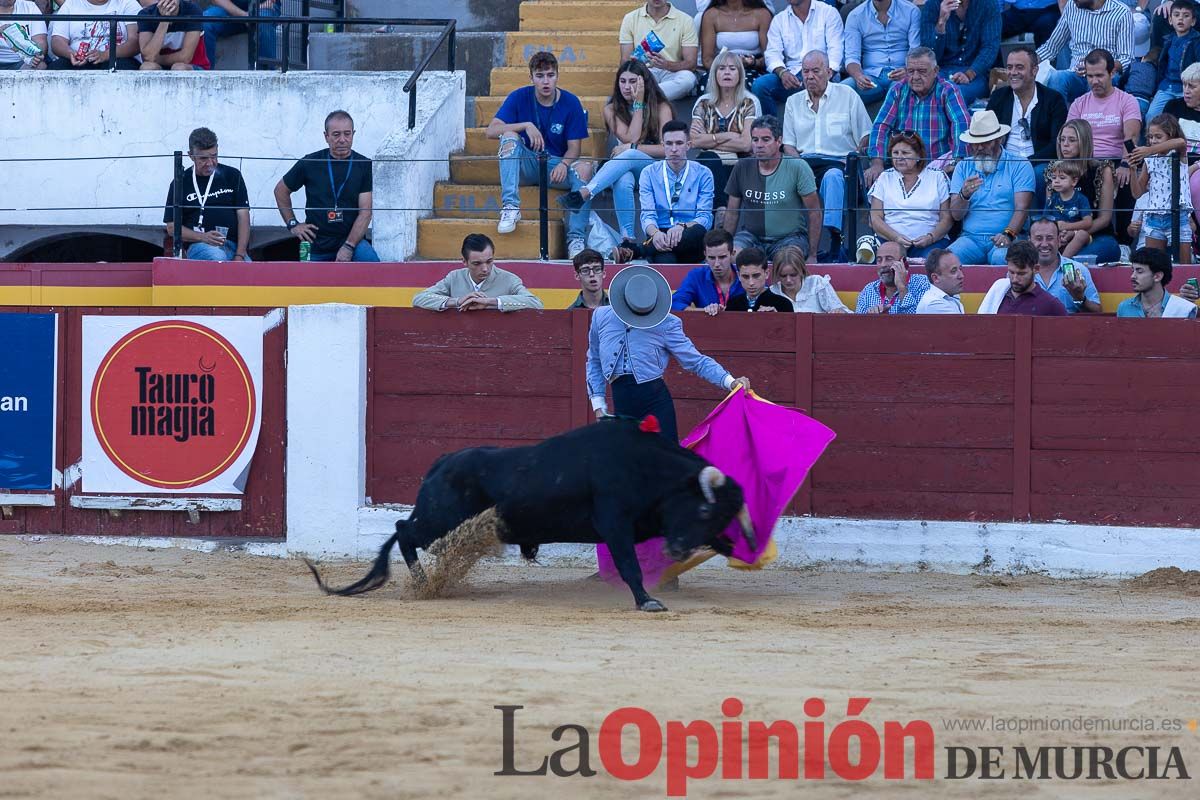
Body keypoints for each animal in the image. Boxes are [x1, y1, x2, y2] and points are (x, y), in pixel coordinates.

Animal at [309, 419, 758, 614]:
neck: (642, 465)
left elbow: (719, 544)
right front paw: (648, 601)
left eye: (716, 516)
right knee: (403, 530)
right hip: (440, 520)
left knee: (404, 532)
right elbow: (629, 564)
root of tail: (444, 460)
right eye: (703, 507)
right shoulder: (615, 523)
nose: (677, 550)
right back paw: (422, 583)